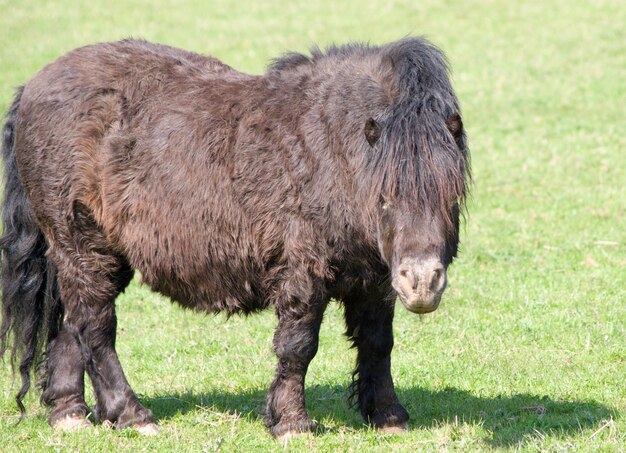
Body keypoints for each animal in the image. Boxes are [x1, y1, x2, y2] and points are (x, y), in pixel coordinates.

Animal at [1, 38, 468, 438]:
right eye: (385, 197)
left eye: (450, 195)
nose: (422, 283)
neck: (329, 150)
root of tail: (33, 86)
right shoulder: (303, 271)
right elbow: (298, 347)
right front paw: (291, 423)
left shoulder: (373, 279)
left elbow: (377, 343)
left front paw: (389, 415)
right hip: (82, 243)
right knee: (95, 326)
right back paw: (132, 415)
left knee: (70, 322)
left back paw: (69, 414)